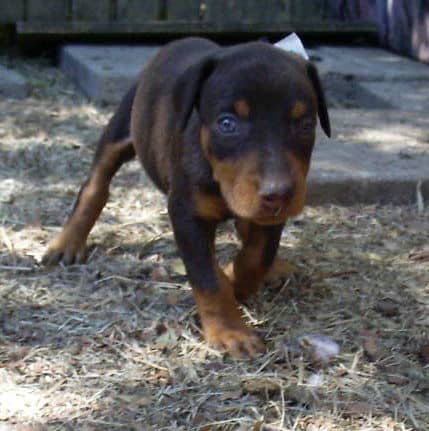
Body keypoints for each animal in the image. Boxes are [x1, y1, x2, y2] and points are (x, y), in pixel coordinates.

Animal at [43, 38, 330, 358]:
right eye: (227, 123)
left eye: (305, 124)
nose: (278, 193)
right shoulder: (186, 213)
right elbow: (207, 278)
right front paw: (230, 330)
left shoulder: (268, 216)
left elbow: (257, 256)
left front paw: (237, 278)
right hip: (122, 128)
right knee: (95, 185)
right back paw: (67, 243)